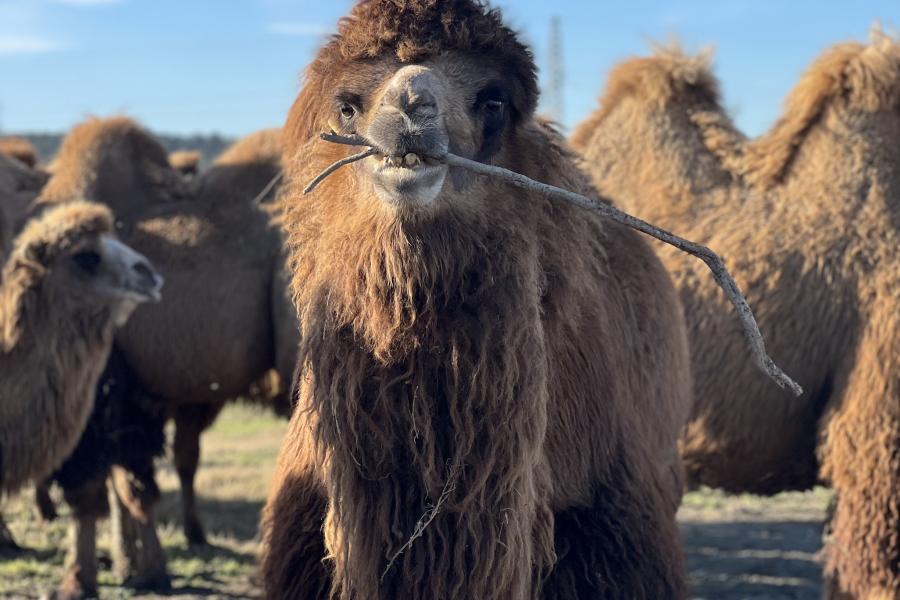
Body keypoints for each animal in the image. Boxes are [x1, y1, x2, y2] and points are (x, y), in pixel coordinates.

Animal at [31, 118, 298, 600]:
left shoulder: (102, 396)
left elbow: (99, 489)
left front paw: (82, 580)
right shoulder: (135, 396)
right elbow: (128, 484)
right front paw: (132, 568)